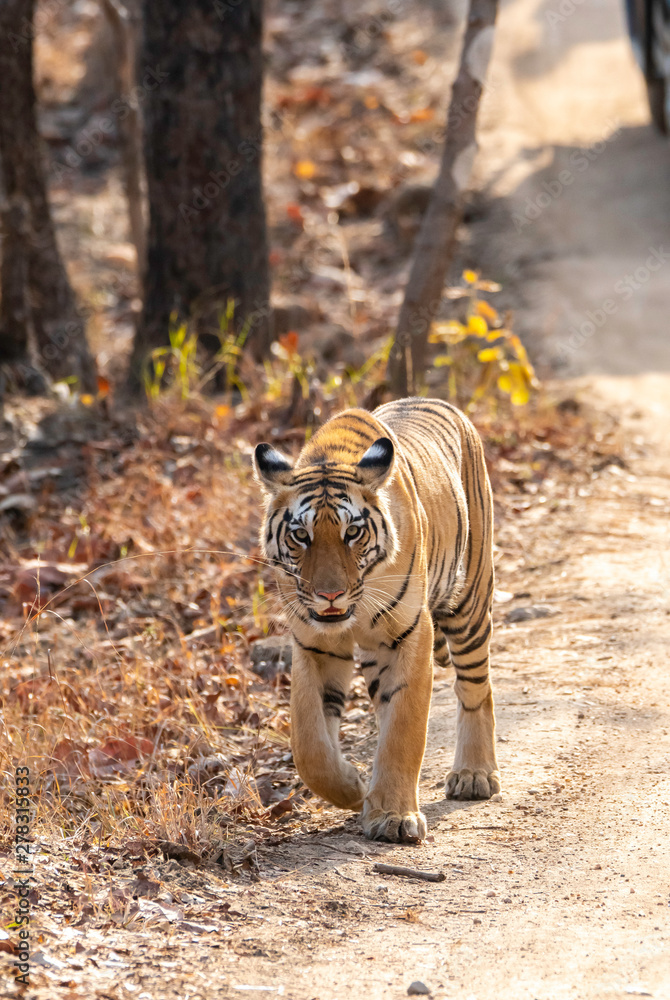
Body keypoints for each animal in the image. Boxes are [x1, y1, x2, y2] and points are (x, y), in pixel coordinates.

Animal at [254, 397, 500, 843]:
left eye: (352, 533)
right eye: (301, 536)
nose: (329, 594)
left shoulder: (412, 633)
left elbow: (404, 727)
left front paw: (394, 817)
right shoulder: (313, 643)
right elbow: (309, 744)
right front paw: (353, 788)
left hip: (469, 604)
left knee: (476, 688)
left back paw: (474, 774)